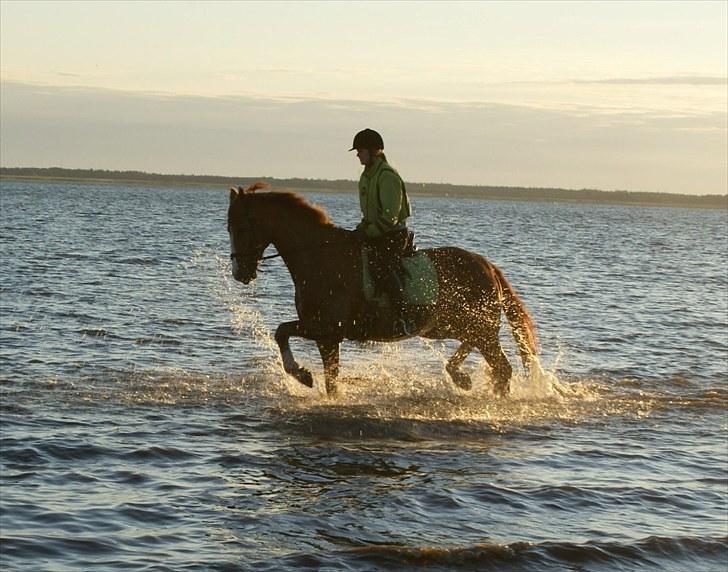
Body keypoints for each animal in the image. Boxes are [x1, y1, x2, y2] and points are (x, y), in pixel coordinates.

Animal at [228, 184, 540, 398]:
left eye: (240, 228)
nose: (240, 274)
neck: (318, 256)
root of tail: (488, 267)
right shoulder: (326, 337)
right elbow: (329, 378)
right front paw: (311, 381)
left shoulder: (326, 328)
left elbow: (281, 331)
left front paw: (302, 374)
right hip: (454, 326)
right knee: (483, 355)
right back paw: (459, 376)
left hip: (478, 327)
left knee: (502, 368)